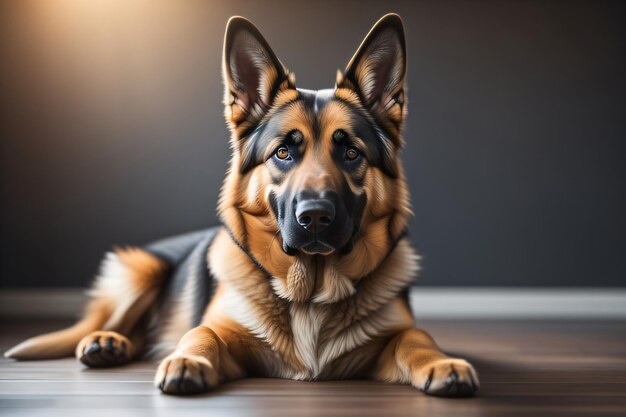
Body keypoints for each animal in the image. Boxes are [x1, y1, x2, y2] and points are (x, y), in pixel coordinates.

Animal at [4, 13, 478, 396]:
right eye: (283, 152)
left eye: (351, 152)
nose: (315, 218)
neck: (310, 293)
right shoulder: (225, 335)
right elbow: (202, 333)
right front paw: (187, 358)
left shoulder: (388, 343)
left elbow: (415, 338)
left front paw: (441, 362)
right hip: (140, 270)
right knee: (111, 324)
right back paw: (107, 341)